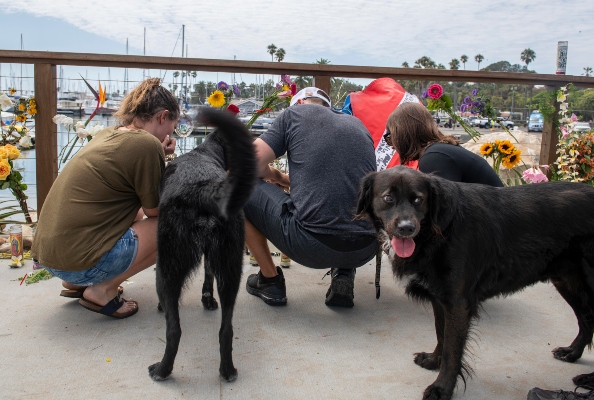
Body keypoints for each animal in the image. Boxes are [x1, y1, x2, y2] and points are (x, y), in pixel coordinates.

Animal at [147, 108, 256, 382]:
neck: (204, 152)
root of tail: (205, 190)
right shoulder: (212, 256)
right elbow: (207, 274)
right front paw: (207, 299)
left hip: (168, 268)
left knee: (174, 330)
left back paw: (162, 370)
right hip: (230, 269)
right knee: (226, 330)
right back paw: (227, 370)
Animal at [356, 166, 592, 400]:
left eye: (418, 199)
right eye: (388, 198)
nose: (407, 228)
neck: (437, 231)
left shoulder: (458, 304)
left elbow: (452, 350)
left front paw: (442, 388)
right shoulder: (440, 299)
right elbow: (441, 335)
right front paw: (433, 361)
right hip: (568, 282)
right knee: (586, 321)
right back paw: (572, 353)